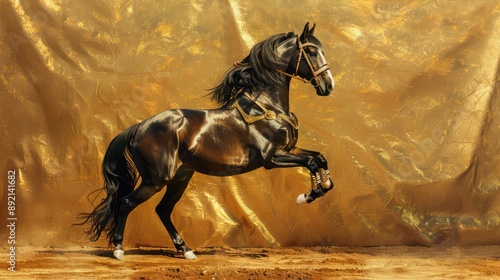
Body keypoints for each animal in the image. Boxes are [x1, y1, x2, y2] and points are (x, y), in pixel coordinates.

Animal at [80, 22, 334, 260]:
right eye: (312, 52)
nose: (328, 85)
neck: (266, 107)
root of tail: (138, 127)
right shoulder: (272, 157)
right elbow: (312, 162)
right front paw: (307, 196)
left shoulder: (289, 149)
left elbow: (319, 158)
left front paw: (322, 187)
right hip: (156, 179)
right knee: (126, 203)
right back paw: (119, 250)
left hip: (179, 178)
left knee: (162, 210)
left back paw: (186, 250)